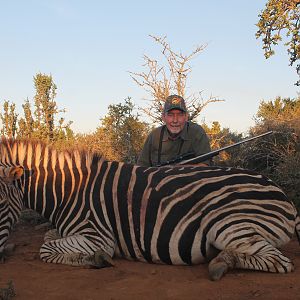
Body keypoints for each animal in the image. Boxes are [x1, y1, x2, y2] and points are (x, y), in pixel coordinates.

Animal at [0, 139, 298, 280]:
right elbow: (49, 237)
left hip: (225, 223)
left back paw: (221, 263)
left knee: (280, 262)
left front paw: (95, 260)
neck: (68, 192)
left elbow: (45, 249)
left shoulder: (99, 236)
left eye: (0, 203)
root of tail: (283, 195)